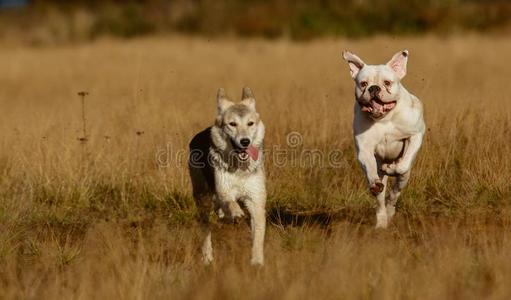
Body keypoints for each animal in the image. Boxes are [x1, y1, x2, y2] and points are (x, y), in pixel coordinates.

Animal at [189, 86, 268, 264]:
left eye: (250, 123)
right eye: (232, 124)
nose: (245, 141)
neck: (240, 169)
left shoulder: (256, 201)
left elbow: (258, 237)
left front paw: (257, 262)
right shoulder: (224, 191)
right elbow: (230, 202)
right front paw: (237, 213)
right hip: (203, 200)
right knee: (206, 230)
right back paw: (207, 258)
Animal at [344, 49, 428, 227]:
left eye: (387, 83)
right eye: (363, 84)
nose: (374, 88)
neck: (385, 118)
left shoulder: (415, 135)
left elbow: (402, 165)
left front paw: (392, 168)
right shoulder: (364, 150)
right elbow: (370, 168)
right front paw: (376, 181)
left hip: (404, 179)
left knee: (394, 193)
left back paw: (390, 209)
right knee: (381, 199)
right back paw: (382, 220)